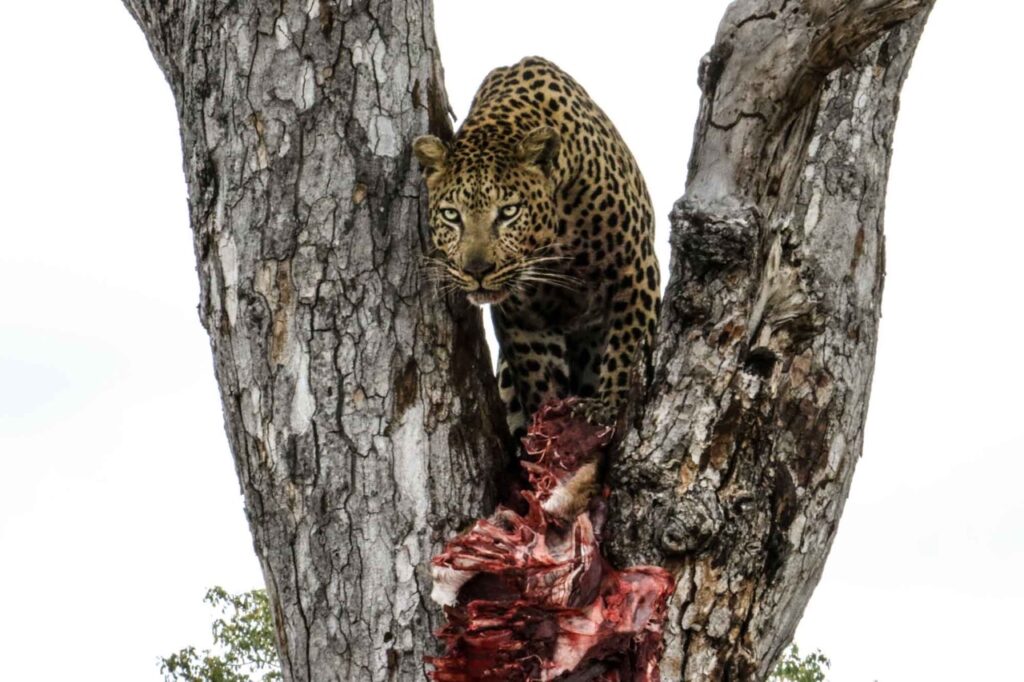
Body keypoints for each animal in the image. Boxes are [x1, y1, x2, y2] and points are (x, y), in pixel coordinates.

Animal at [414, 56, 660, 443]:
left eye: (509, 212)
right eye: (452, 215)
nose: (477, 271)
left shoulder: (635, 271)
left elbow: (626, 347)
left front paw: (607, 407)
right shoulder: (523, 317)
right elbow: (539, 376)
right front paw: (546, 427)